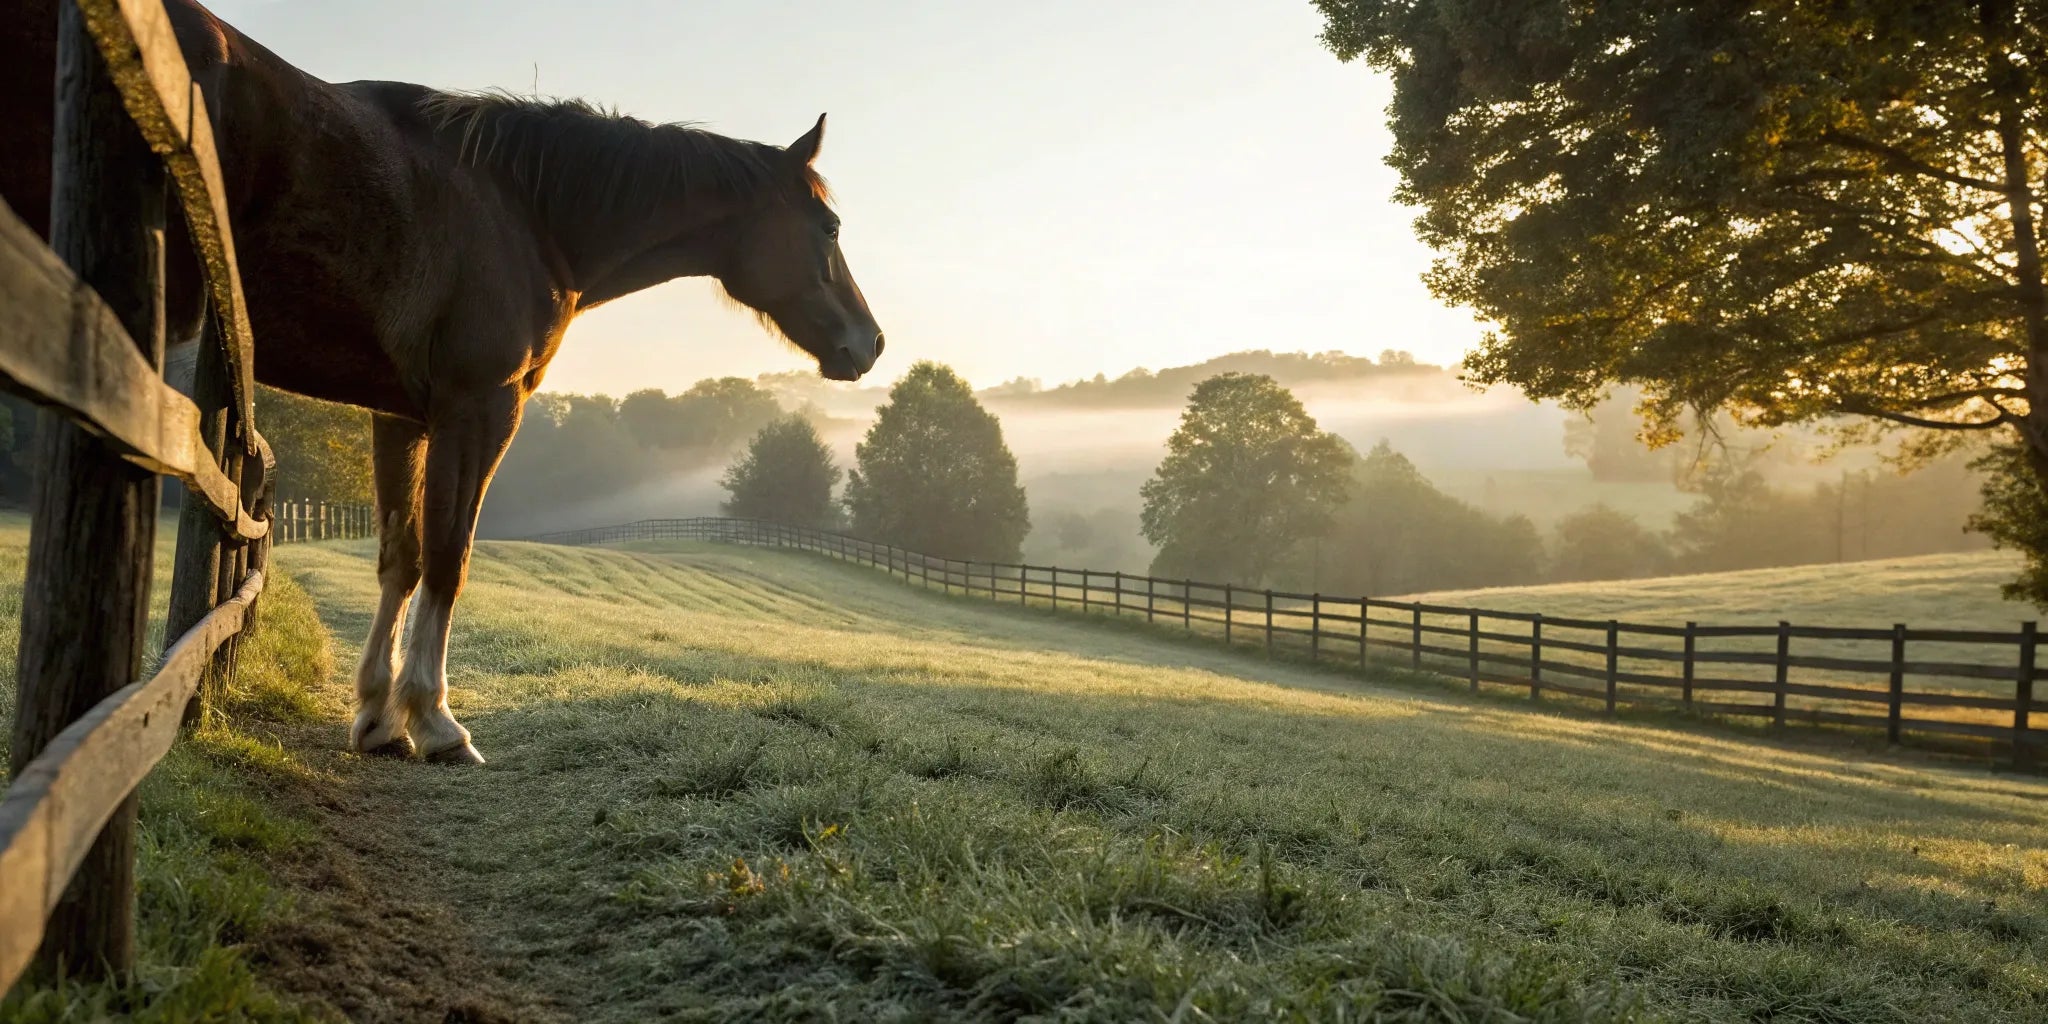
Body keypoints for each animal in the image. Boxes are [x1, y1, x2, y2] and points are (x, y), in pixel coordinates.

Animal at [1, 0, 885, 764]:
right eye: (829, 227)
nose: (870, 343)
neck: (527, 211)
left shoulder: (400, 418)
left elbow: (401, 555)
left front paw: (375, 716)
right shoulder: (481, 406)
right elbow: (450, 555)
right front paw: (434, 721)